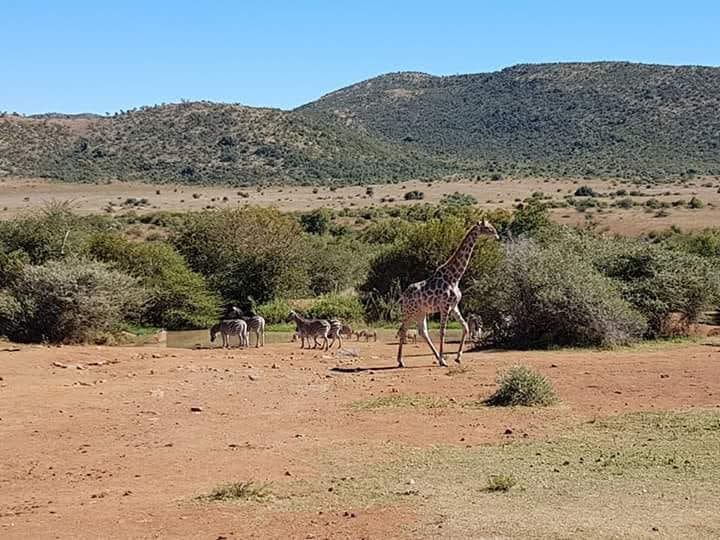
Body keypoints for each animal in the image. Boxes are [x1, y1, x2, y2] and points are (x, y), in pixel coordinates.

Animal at [396, 218, 499, 368]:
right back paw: (401, 361)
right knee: (403, 330)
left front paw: (458, 357)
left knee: (423, 332)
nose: (497, 236)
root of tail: (403, 296)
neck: (455, 277)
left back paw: (435, 357)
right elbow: (442, 331)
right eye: (488, 228)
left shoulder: (454, 306)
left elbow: (465, 327)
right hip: (409, 311)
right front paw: (444, 361)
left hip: (421, 312)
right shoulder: (444, 306)